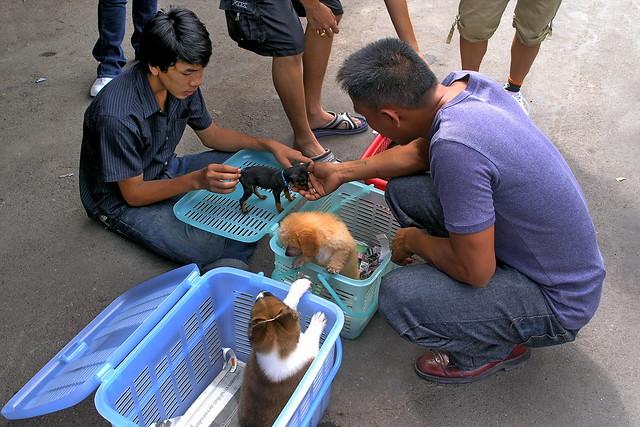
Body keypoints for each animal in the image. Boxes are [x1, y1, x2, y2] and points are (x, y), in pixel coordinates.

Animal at [239, 280, 328, 427]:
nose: (263, 291)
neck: (278, 348)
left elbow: (290, 300)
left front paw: (299, 285)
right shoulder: (309, 348)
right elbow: (311, 334)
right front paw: (317, 321)